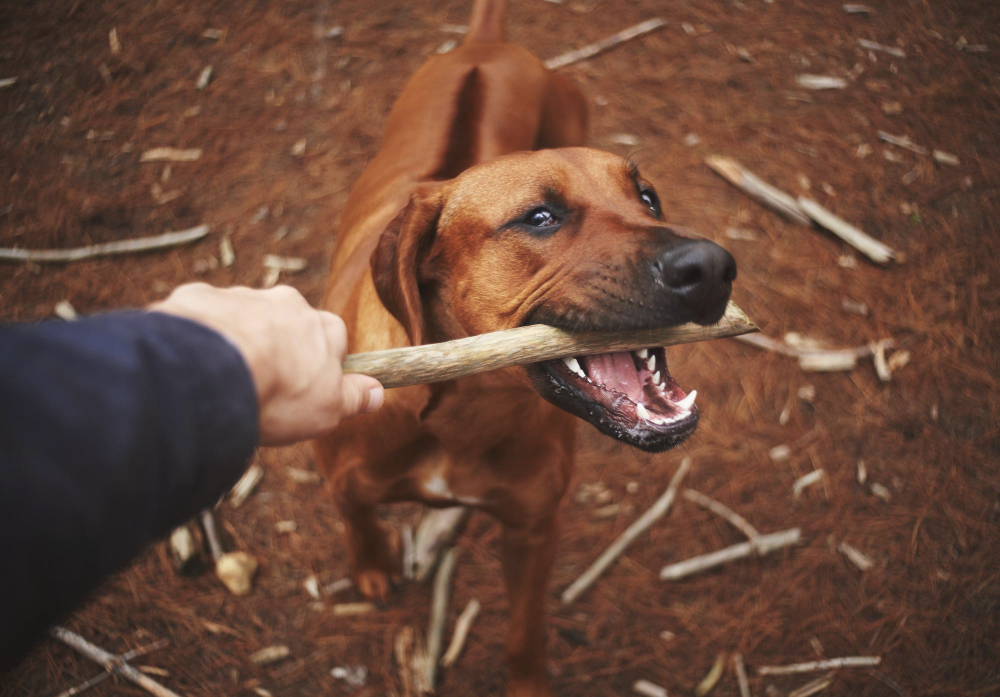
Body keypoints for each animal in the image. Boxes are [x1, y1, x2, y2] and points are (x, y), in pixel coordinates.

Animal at [312, 2, 736, 692]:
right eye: (540, 218)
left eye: (648, 198)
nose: (714, 267)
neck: (465, 405)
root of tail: (486, 44)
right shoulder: (343, 483)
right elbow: (358, 518)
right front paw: (372, 567)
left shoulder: (534, 530)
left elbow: (524, 631)